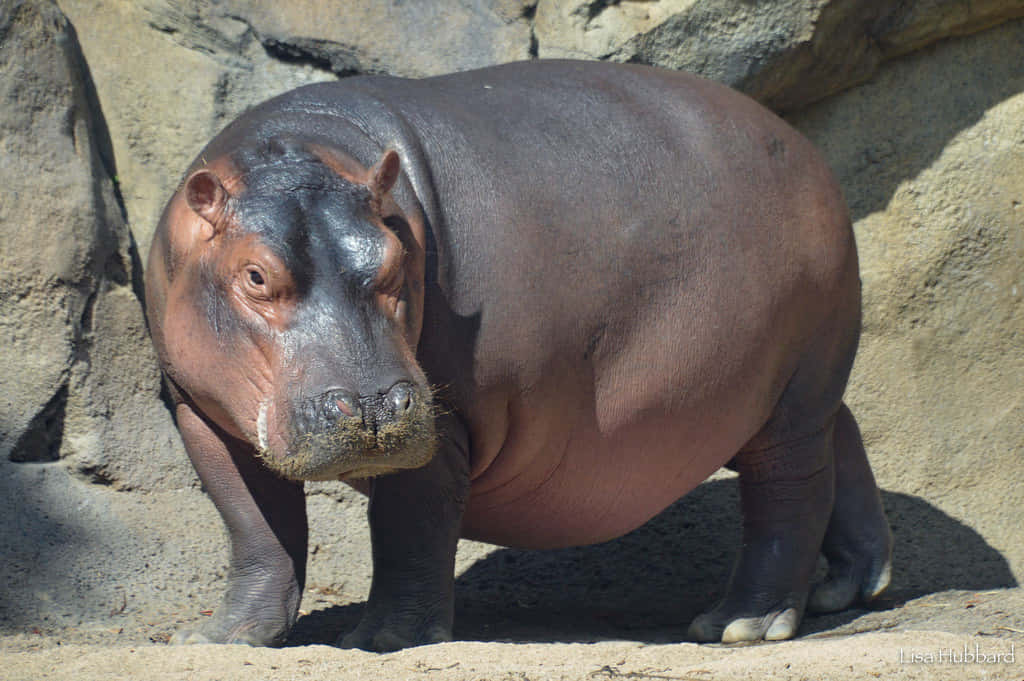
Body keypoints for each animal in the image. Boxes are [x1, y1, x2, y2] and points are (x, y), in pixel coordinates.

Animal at [145, 59, 892, 650]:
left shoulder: (448, 420)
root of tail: (810, 152)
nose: (374, 405)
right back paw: (851, 586)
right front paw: (223, 638)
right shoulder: (197, 409)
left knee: (790, 489)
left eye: (394, 261)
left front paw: (384, 640)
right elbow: (255, 525)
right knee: (841, 435)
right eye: (254, 275)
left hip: (794, 387)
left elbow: (409, 523)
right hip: (772, 392)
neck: (306, 151)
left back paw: (741, 624)